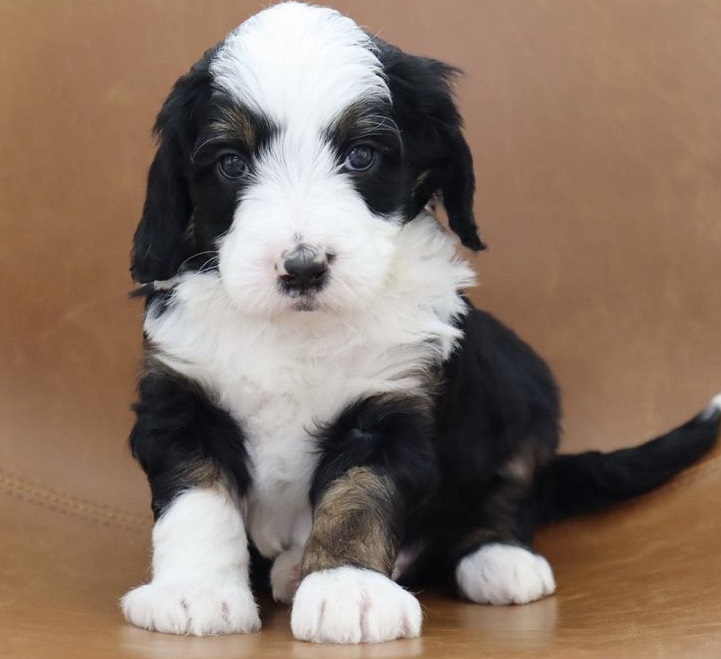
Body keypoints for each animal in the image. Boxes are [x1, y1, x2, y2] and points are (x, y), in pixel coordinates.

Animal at [121, 2, 716, 648]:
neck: (301, 333)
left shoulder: (394, 403)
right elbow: (197, 498)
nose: (303, 267)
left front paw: (347, 590)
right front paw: (195, 592)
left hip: (522, 384)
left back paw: (498, 559)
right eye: (230, 163)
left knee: (511, 486)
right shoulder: (183, 397)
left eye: (361, 156)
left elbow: (359, 497)